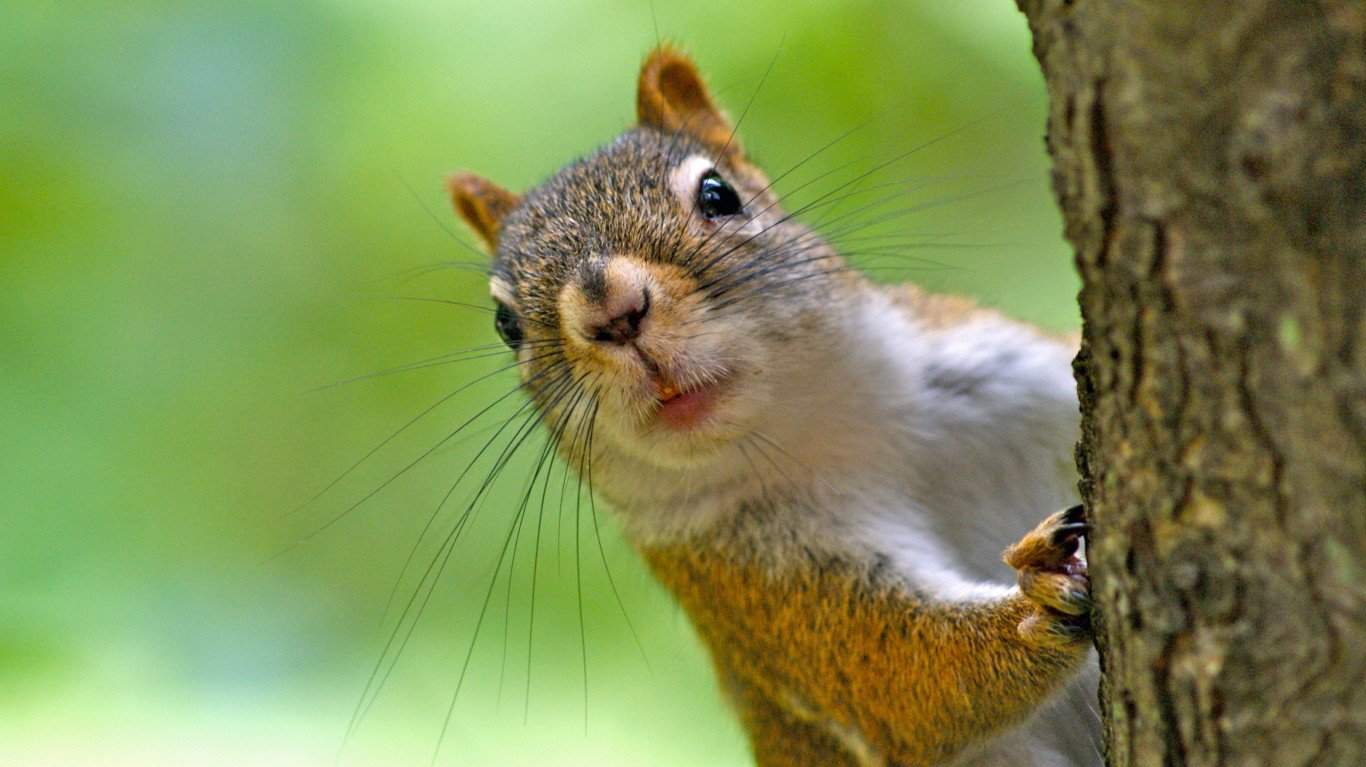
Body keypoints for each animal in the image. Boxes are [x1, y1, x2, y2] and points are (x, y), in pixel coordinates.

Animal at [443, 46, 1100, 767]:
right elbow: (900, 672)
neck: (826, 428)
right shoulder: (753, 582)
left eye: (717, 194)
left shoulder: (1009, 369)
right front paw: (1038, 601)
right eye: (506, 324)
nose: (611, 313)